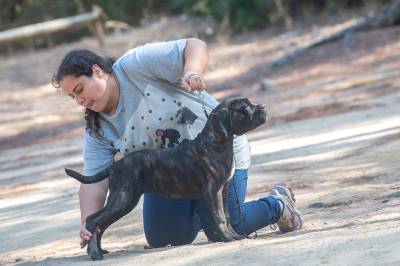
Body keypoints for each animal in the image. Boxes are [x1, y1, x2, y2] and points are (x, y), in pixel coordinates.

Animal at [65, 97, 266, 260]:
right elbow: (220, 217)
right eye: (245, 107)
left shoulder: (223, 190)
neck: (215, 142)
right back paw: (95, 254)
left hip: (124, 201)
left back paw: (99, 250)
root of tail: (115, 165)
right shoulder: (213, 191)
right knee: (93, 221)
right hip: (123, 198)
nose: (263, 107)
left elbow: (229, 216)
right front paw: (226, 238)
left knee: (100, 224)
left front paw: (234, 235)